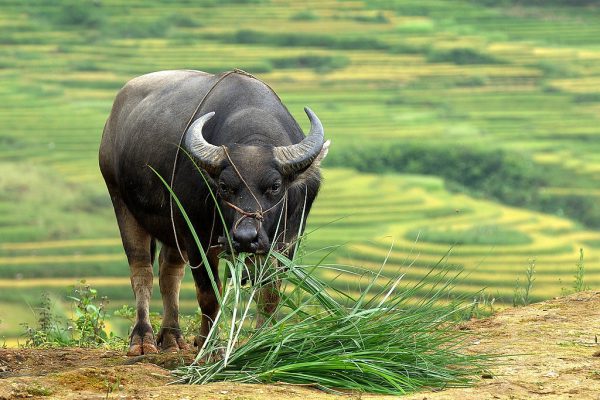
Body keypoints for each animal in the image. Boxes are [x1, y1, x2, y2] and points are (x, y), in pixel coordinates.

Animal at [101, 70, 330, 354]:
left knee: (169, 272)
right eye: (224, 186)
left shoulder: (286, 242)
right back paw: (143, 338)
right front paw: (209, 344)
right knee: (142, 272)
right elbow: (209, 294)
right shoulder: (197, 237)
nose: (245, 238)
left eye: (275, 186)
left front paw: (261, 340)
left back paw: (172, 336)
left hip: (173, 228)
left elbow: (269, 294)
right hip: (122, 203)